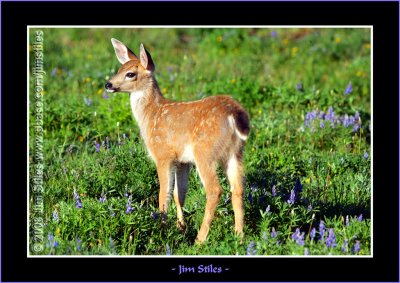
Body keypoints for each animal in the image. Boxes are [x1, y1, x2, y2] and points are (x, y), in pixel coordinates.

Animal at [106, 38, 250, 244]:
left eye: (130, 74)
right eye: (119, 69)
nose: (108, 84)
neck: (151, 114)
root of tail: (235, 113)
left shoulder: (163, 154)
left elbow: (164, 194)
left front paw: (162, 228)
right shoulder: (182, 161)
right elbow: (179, 194)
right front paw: (180, 227)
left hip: (205, 152)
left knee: (215, 190)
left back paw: (200, 239)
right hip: (235, 153)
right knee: (237, 189)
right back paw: (239, 236)